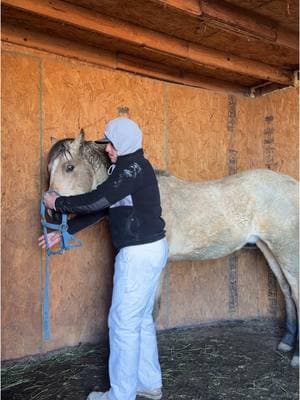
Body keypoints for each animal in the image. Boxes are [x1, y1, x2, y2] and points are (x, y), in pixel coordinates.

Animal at [46, 130, 298, 366]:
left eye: (69, 167)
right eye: (50, 168)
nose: (51, 210)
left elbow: (151, 311)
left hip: (285, 250)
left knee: (295, 291)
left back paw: (295, 356)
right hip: (268, 248)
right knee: (286, 289)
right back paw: (286, 342)